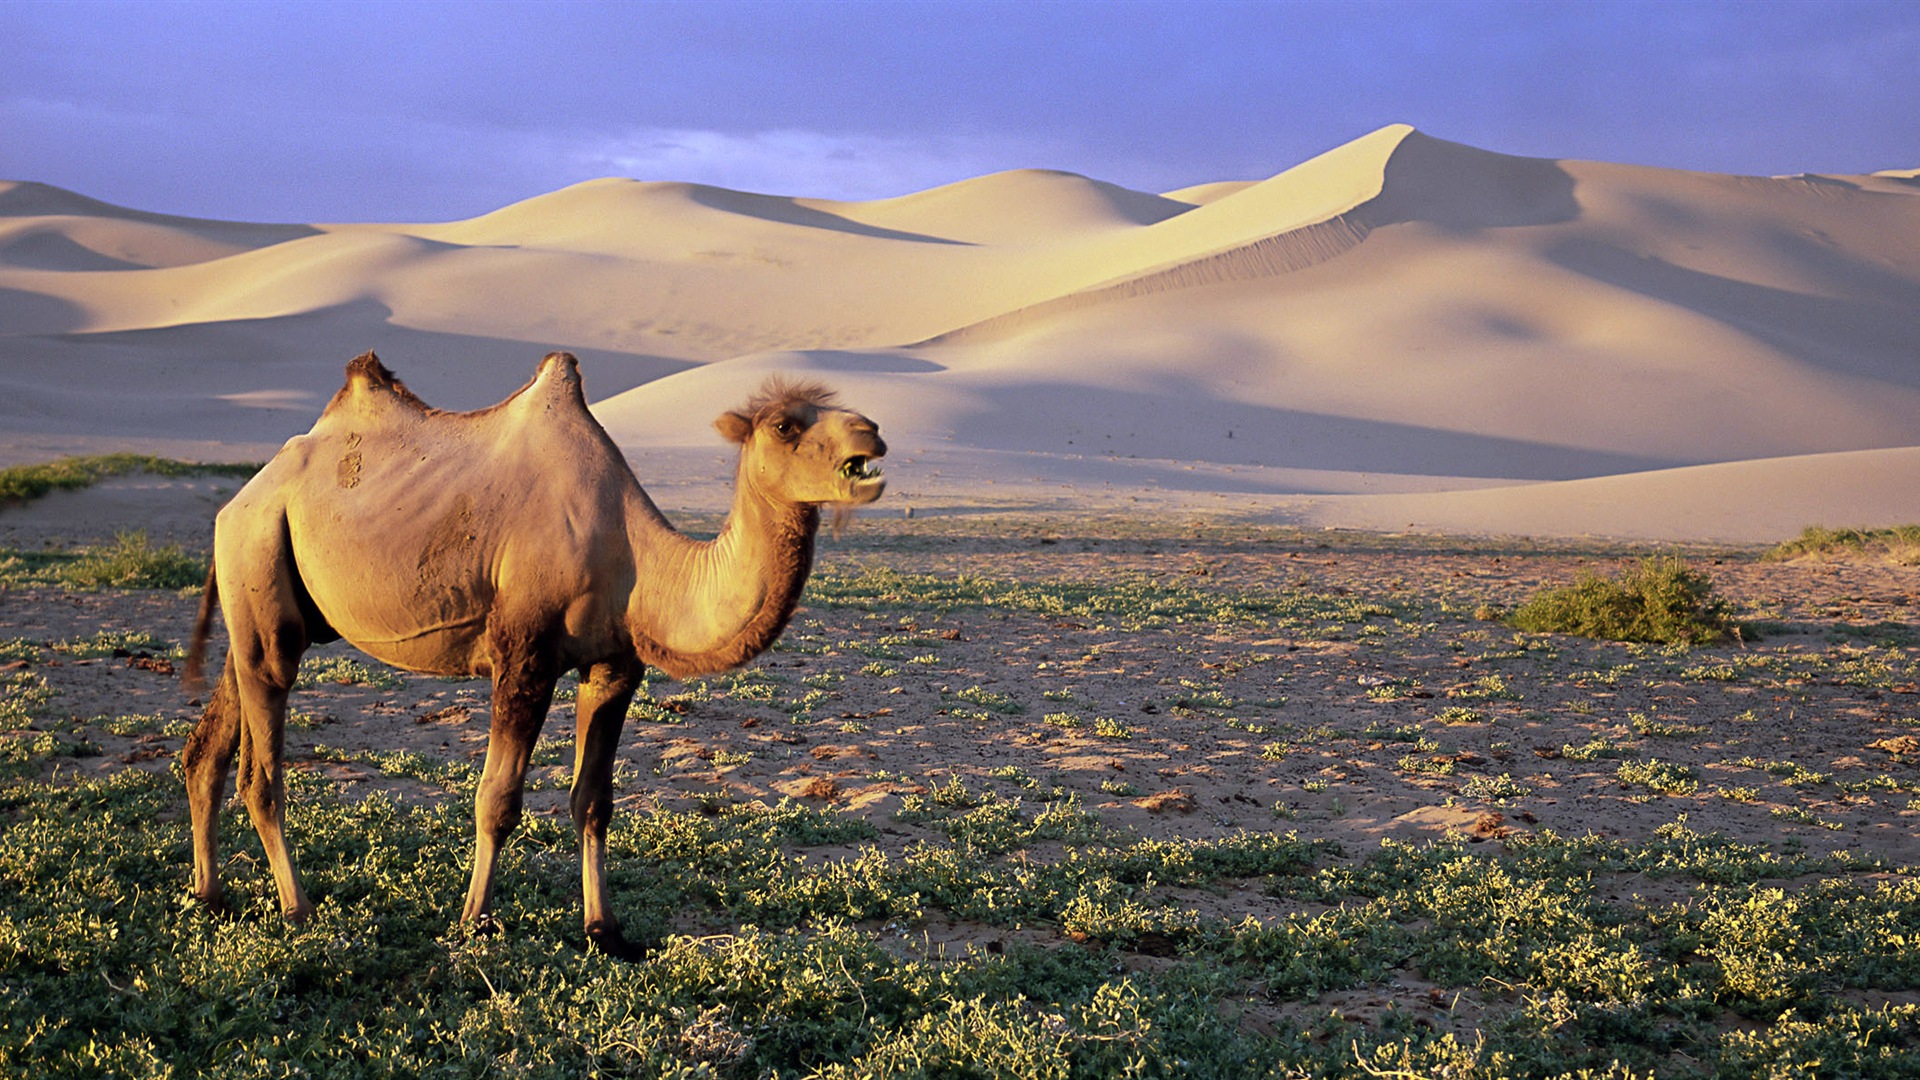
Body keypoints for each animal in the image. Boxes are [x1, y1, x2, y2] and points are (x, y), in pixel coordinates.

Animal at [180, 349, 883, 953]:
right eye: (786, 425)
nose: (872, 433)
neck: (634, 557)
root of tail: (239, 498)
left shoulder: (614, 667)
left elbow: (594, 800)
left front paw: (605, 931)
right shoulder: (524, 654)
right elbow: (497, 800)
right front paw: (473, 923)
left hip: (260, 597)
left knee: (206, 747)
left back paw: (209, 896)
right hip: (261, 561)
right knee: (260, 769)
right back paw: (299, 909)